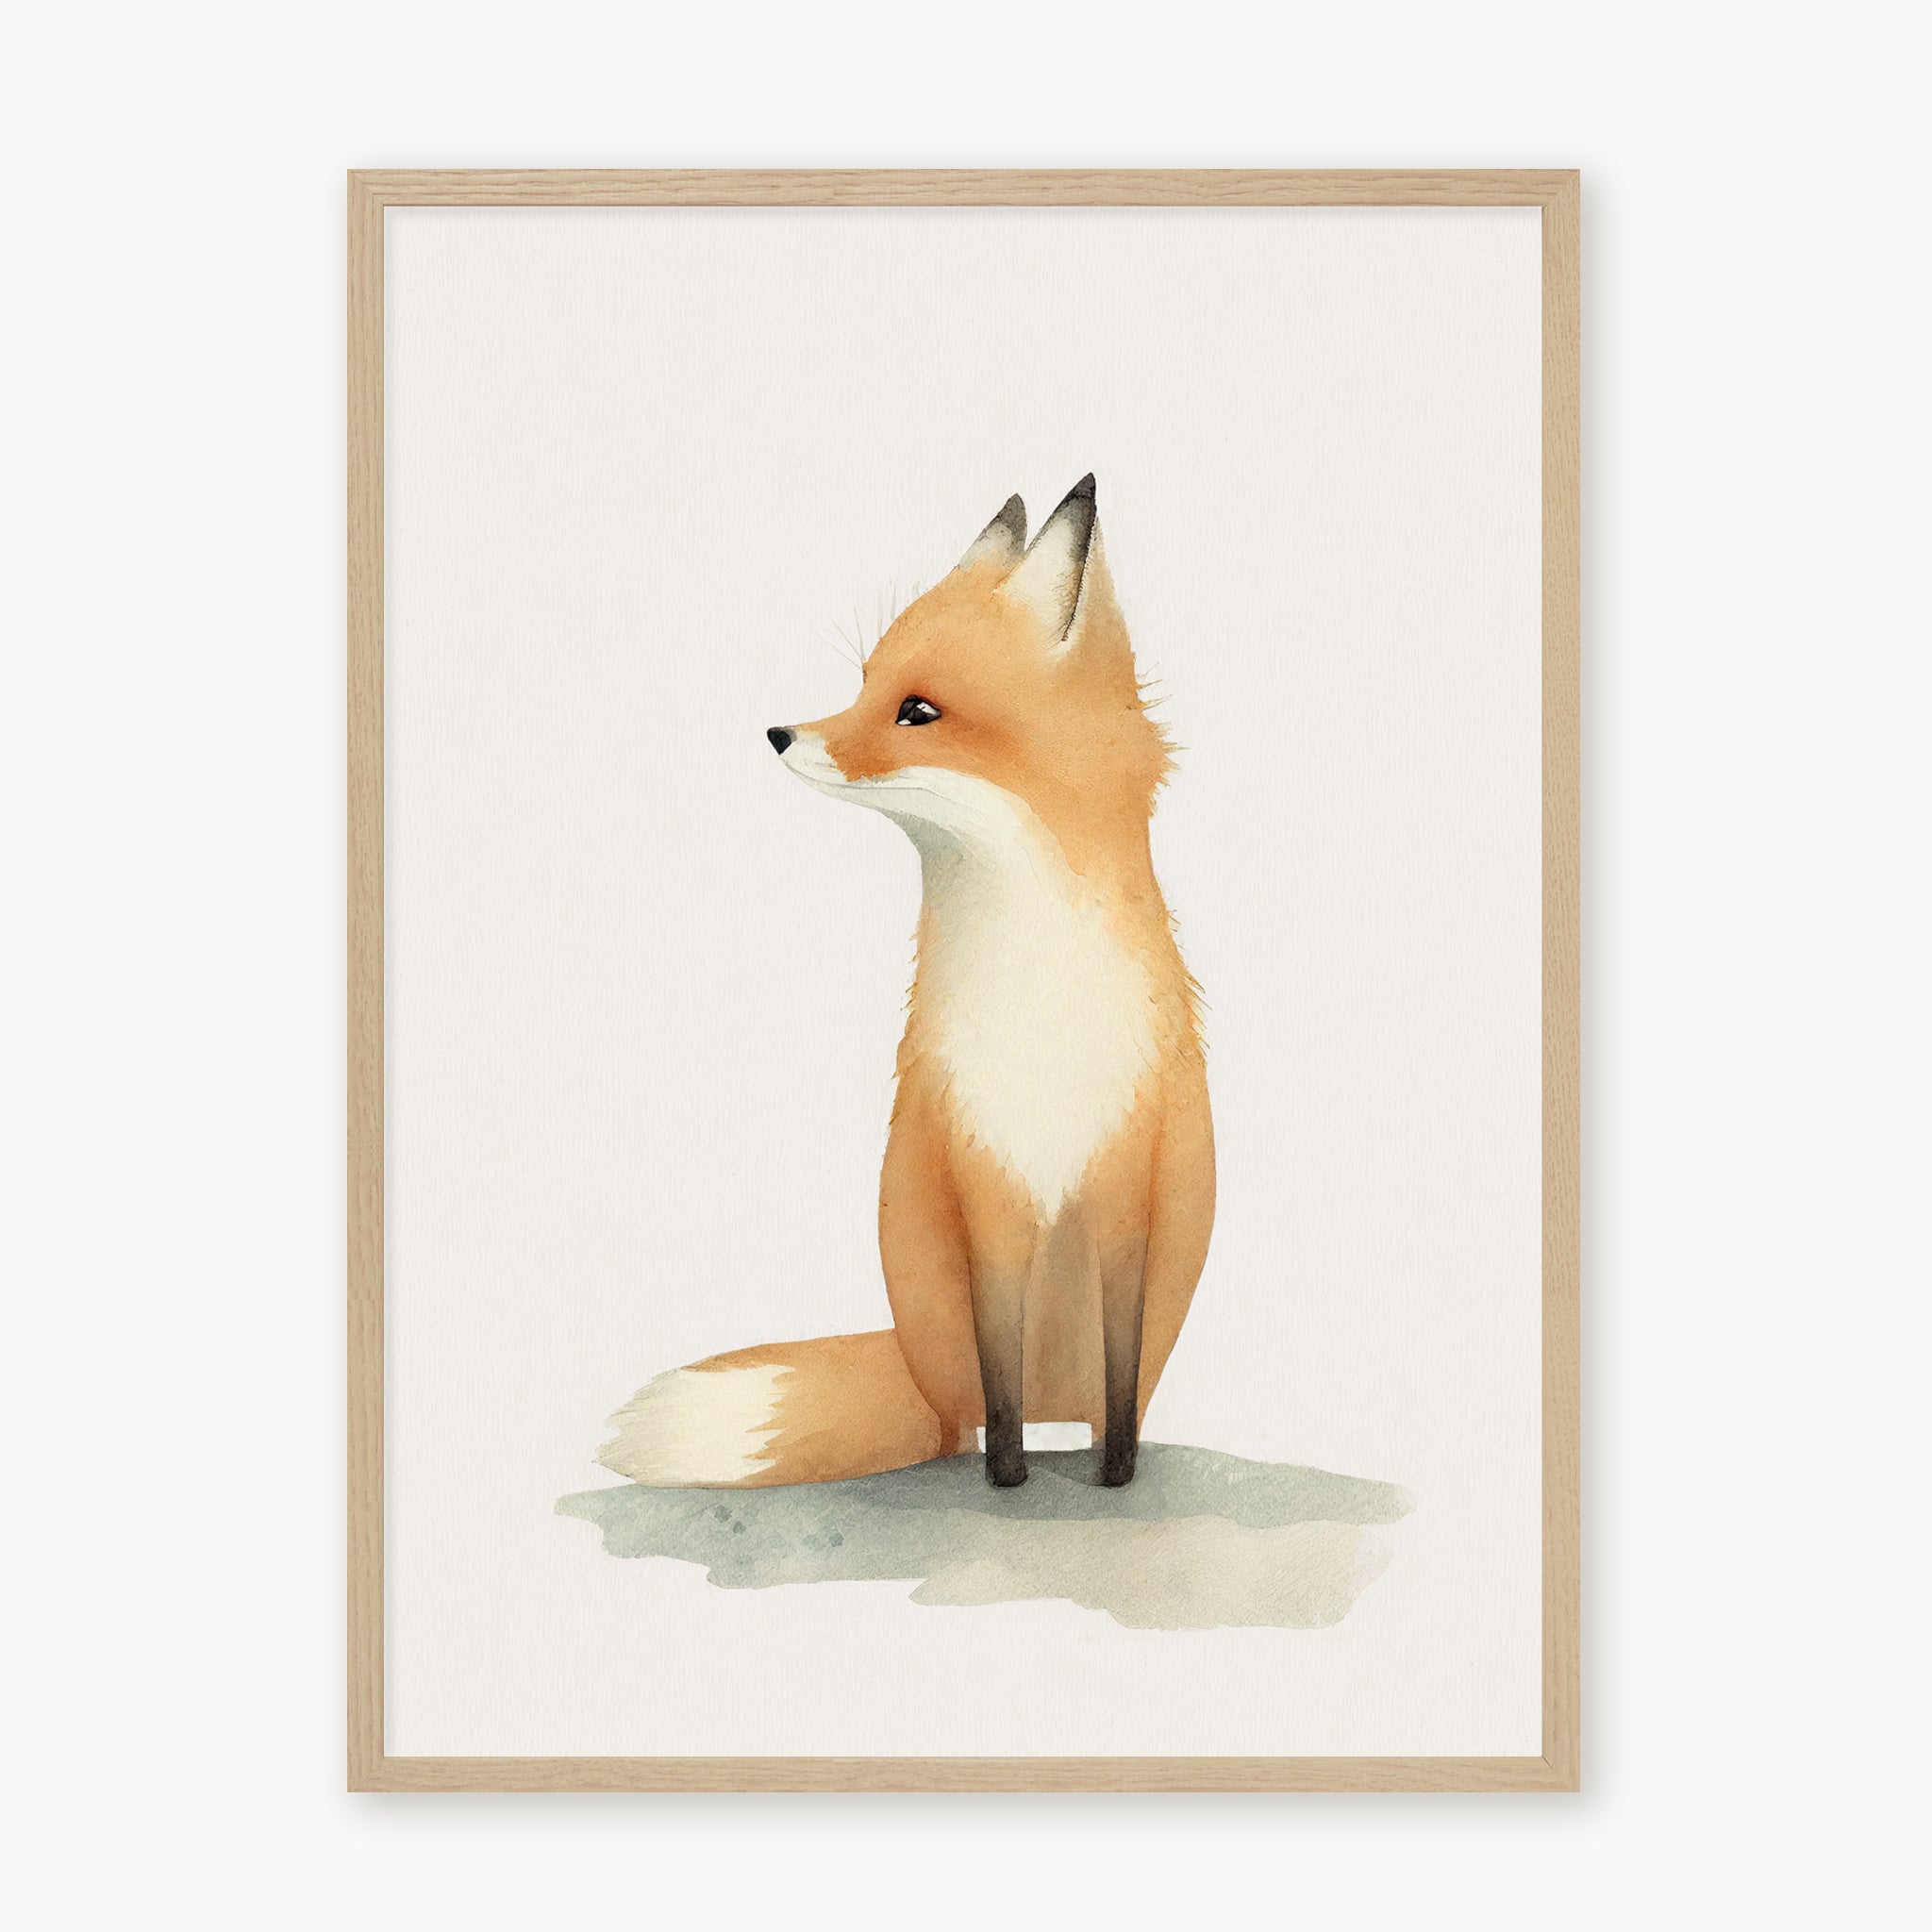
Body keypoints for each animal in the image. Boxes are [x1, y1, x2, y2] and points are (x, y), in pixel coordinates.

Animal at [600, 475, 1213, 1489]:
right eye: (863, 682)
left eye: (916, 711)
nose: (778, 732)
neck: (1037, 996)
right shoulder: (984, 1183)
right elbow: (1000, 1376)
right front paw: (1008, 1480)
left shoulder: (1127, 1183)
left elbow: (1122, 1375)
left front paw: (1117, 1475)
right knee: (964, 1413)